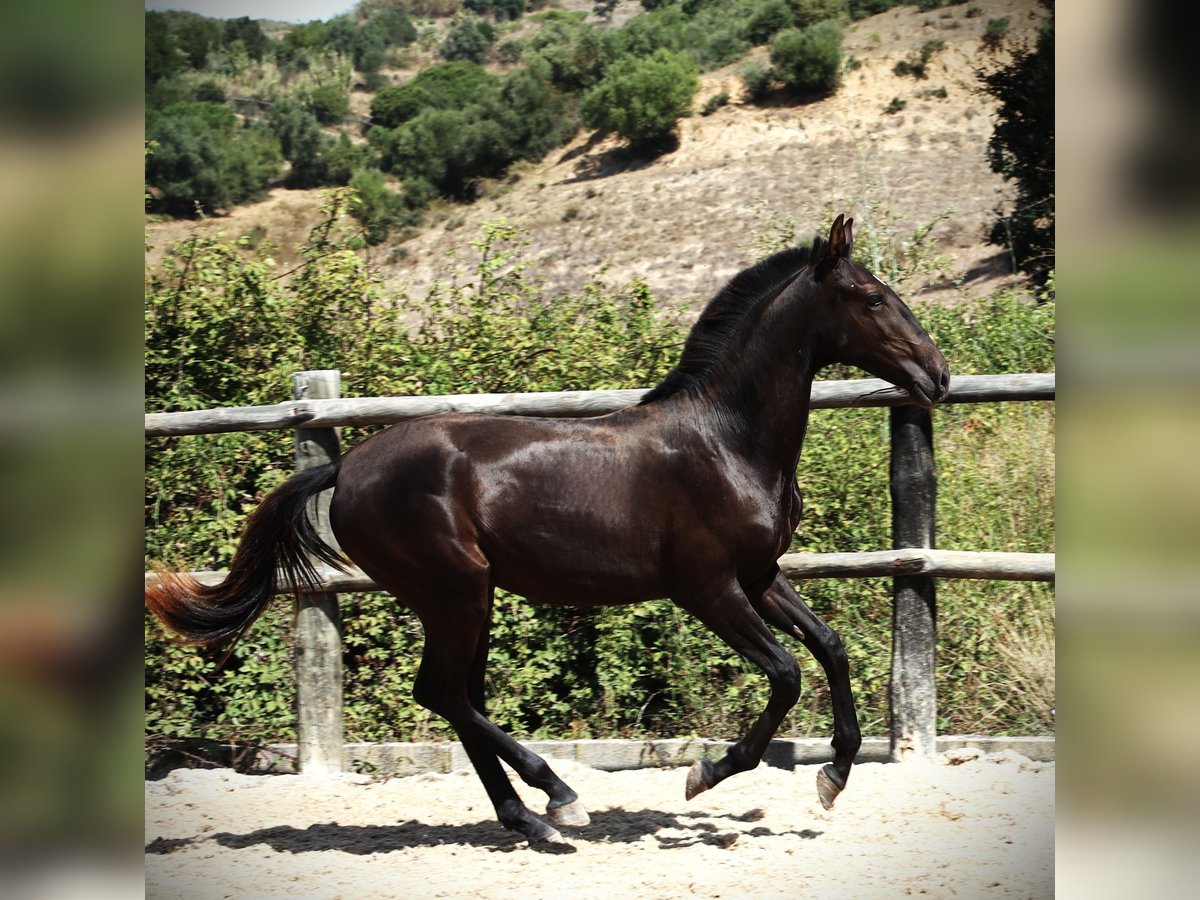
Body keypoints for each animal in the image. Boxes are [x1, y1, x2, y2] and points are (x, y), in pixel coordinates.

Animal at [147, 214, 945, 849]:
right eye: (873, 297)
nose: (936, 375)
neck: (727, 440)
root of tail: (347, 467)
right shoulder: (707, 587)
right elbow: (785, 673)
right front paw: (705, 773)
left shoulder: (761, 575)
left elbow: (831, 648)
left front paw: (834, 776)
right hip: (455, 590)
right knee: (444, 692)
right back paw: (558, 797)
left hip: (467, 598)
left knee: (455, 696)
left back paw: (532, 820)